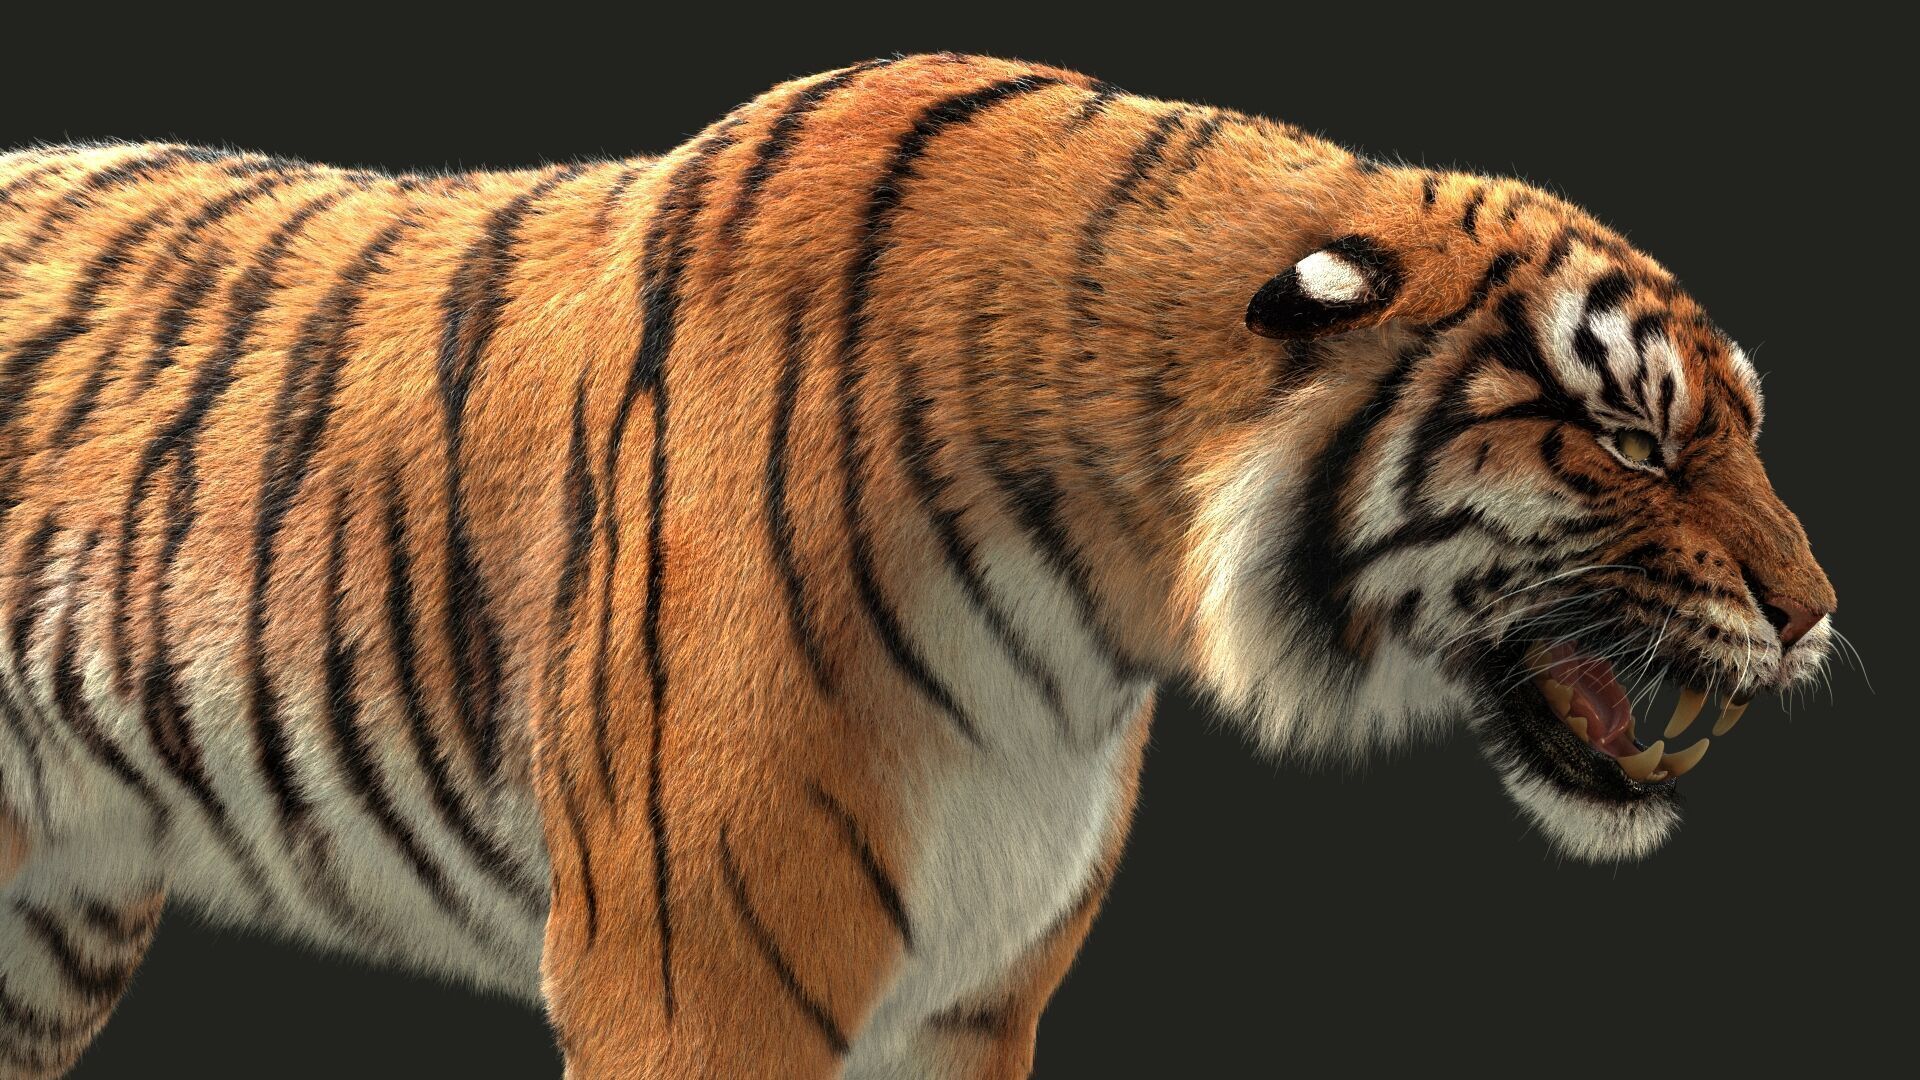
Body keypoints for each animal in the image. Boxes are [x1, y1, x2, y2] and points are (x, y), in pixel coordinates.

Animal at [0, 51, 1835, 1078]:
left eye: (1741, 425)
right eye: (1633, 440)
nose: (1819, 615)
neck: (1097, 603)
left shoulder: (972, 1001)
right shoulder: (689, 990)